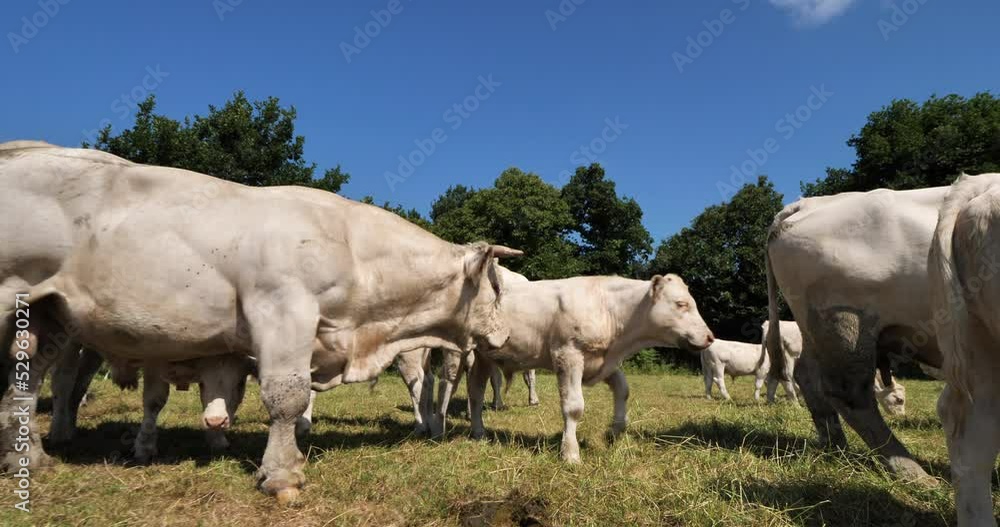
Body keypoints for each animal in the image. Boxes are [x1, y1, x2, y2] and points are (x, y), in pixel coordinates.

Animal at [0, 142, 521, 501]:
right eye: (498, 289)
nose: (506, 333)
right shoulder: (283, 311)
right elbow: (286, 398)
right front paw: (282, 475)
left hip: (48, 316)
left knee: (24, 387)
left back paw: (32, 461)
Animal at [467, 274, 714, 463]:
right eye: (681, 304)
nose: (710, 337)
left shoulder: (604, 363)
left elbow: (623, 390)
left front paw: (615, 431)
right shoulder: (568, 355)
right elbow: (573, 407)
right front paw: (570, 454)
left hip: (483, 359)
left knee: (475, 392)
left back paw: (478, 432)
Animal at [765, 186, 947, 483]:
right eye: (898, 400)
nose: (901, 415)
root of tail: (805, 204)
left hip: (815, 328)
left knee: (808, 377)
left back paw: (836, 447)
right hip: (846, 319)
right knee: (848, 393)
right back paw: (912, 471)